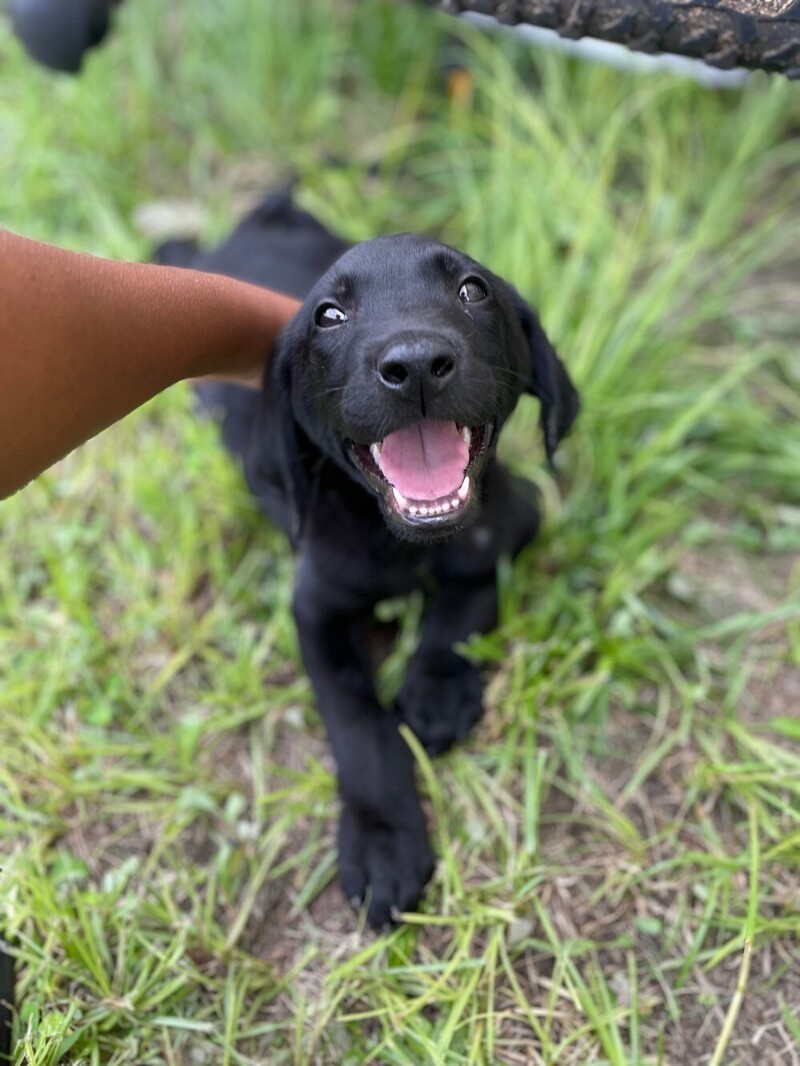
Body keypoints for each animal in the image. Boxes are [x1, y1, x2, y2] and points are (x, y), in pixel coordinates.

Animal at [160, 189, 580, 925]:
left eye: (472, 290)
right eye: (329, 315)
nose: (415, 364)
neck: (396, 541)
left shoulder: (510, 527)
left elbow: (464, 605)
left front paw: (436, 692)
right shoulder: (315, 611)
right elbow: (357, 718)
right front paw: (384, 839)